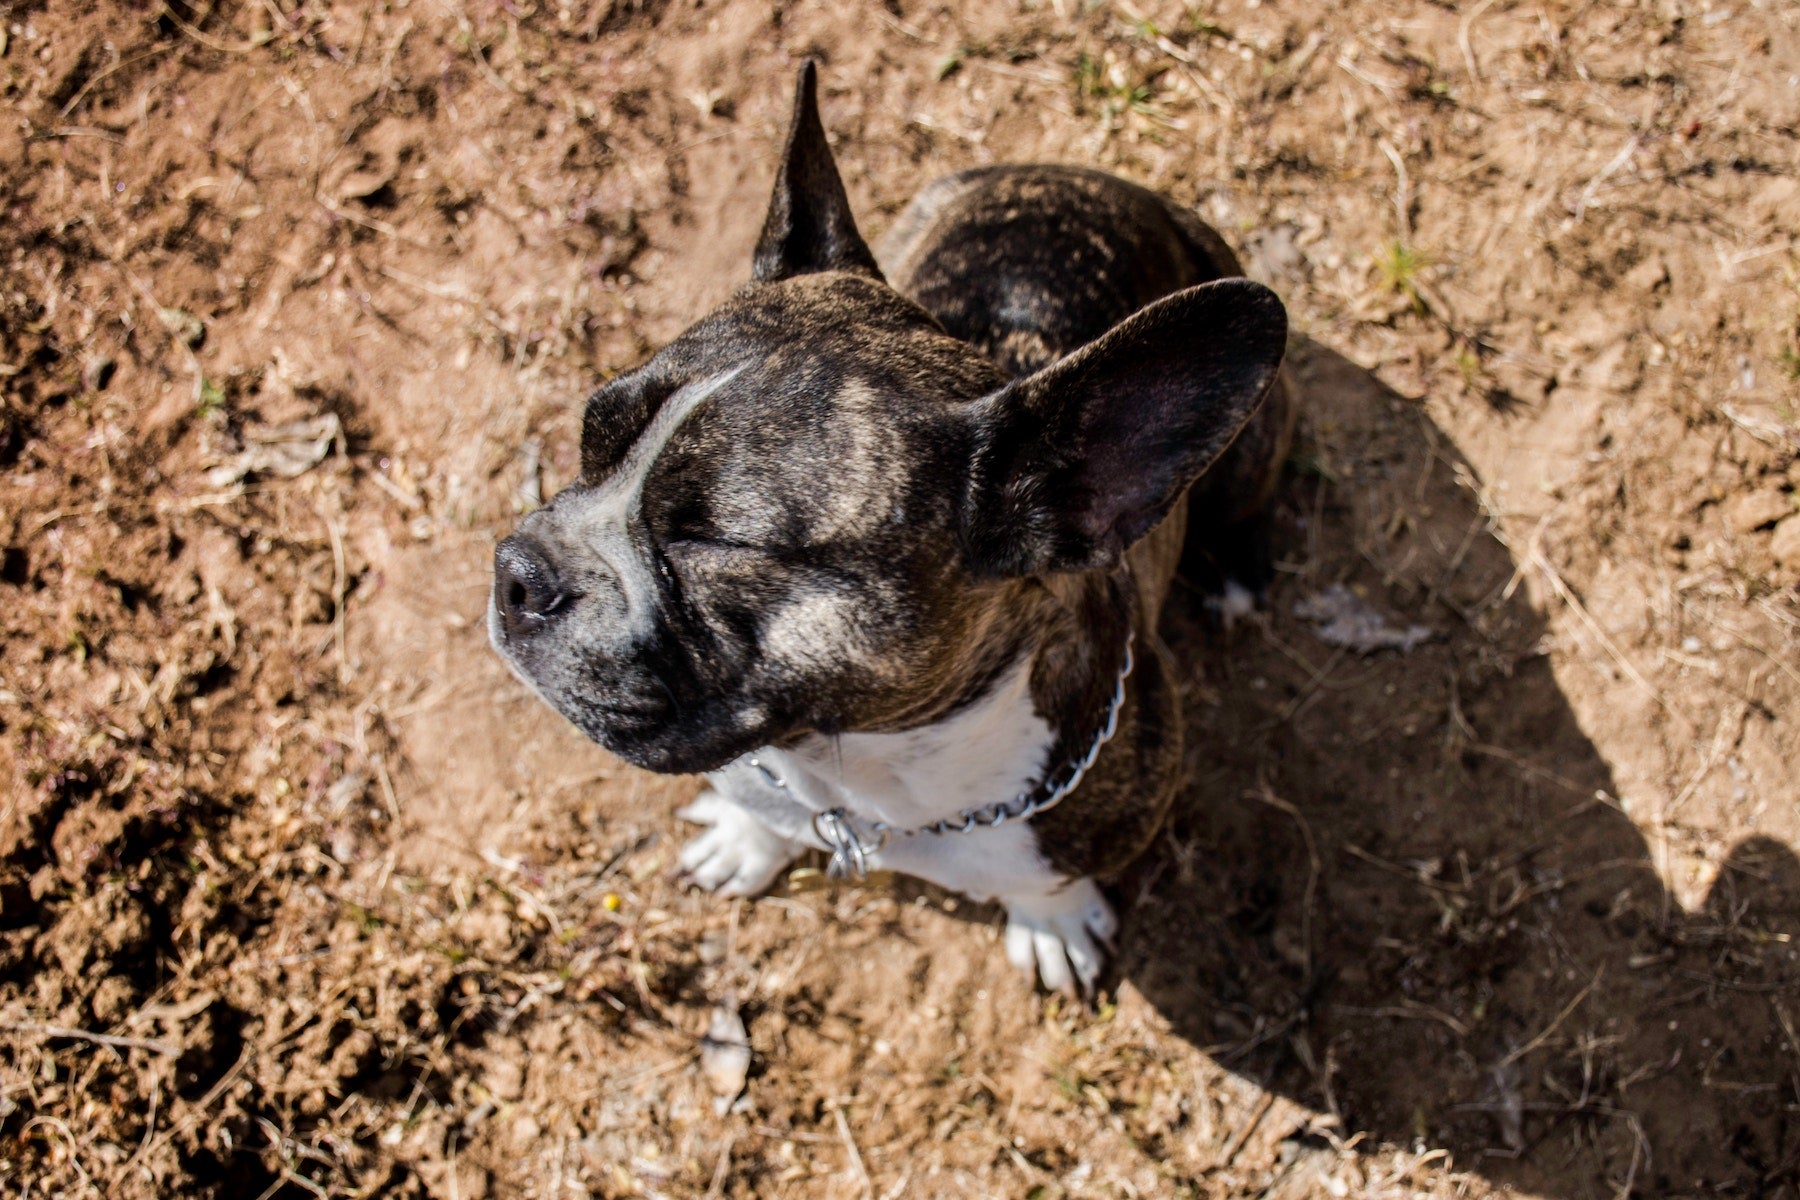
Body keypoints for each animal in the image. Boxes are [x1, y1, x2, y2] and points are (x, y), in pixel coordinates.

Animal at [486, 61, 1288, 993]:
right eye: (591, 437)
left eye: (713, 542)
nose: (518, 568)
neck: (869, 778)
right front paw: (748, 838)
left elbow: (1049, 878)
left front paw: (1050, 921)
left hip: (1256, 441)